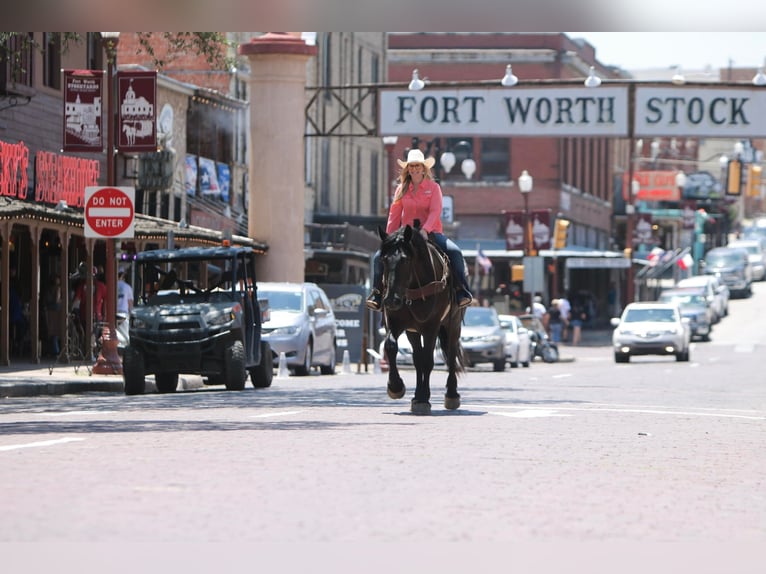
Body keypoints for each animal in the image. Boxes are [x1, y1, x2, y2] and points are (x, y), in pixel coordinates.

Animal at [380, 223, 468, 416]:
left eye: (405, 260)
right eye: (383, 259)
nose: (390, 300)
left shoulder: (431, 326)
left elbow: (428, 360)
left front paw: (424, 399)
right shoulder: (395, 323)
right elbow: (391, 346)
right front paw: (396, 387)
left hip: (453, 325)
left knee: (451, 355)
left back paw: (451, 395)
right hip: (413, 331)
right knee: (417, 359)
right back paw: (416, 395)